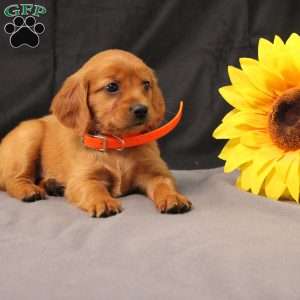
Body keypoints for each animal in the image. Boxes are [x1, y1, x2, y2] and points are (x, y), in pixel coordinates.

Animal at [0, 49, 192, 218]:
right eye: (112, 86)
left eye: (146, 84)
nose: (142, 110)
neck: (118, 144)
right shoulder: (83, 179)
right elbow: (94, 188)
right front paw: (104, 202)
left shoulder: (157, 172)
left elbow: (164, 184)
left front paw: (173, 197)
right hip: (30, 133)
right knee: (13, 179)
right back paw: (29, 190)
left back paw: (53, 185)